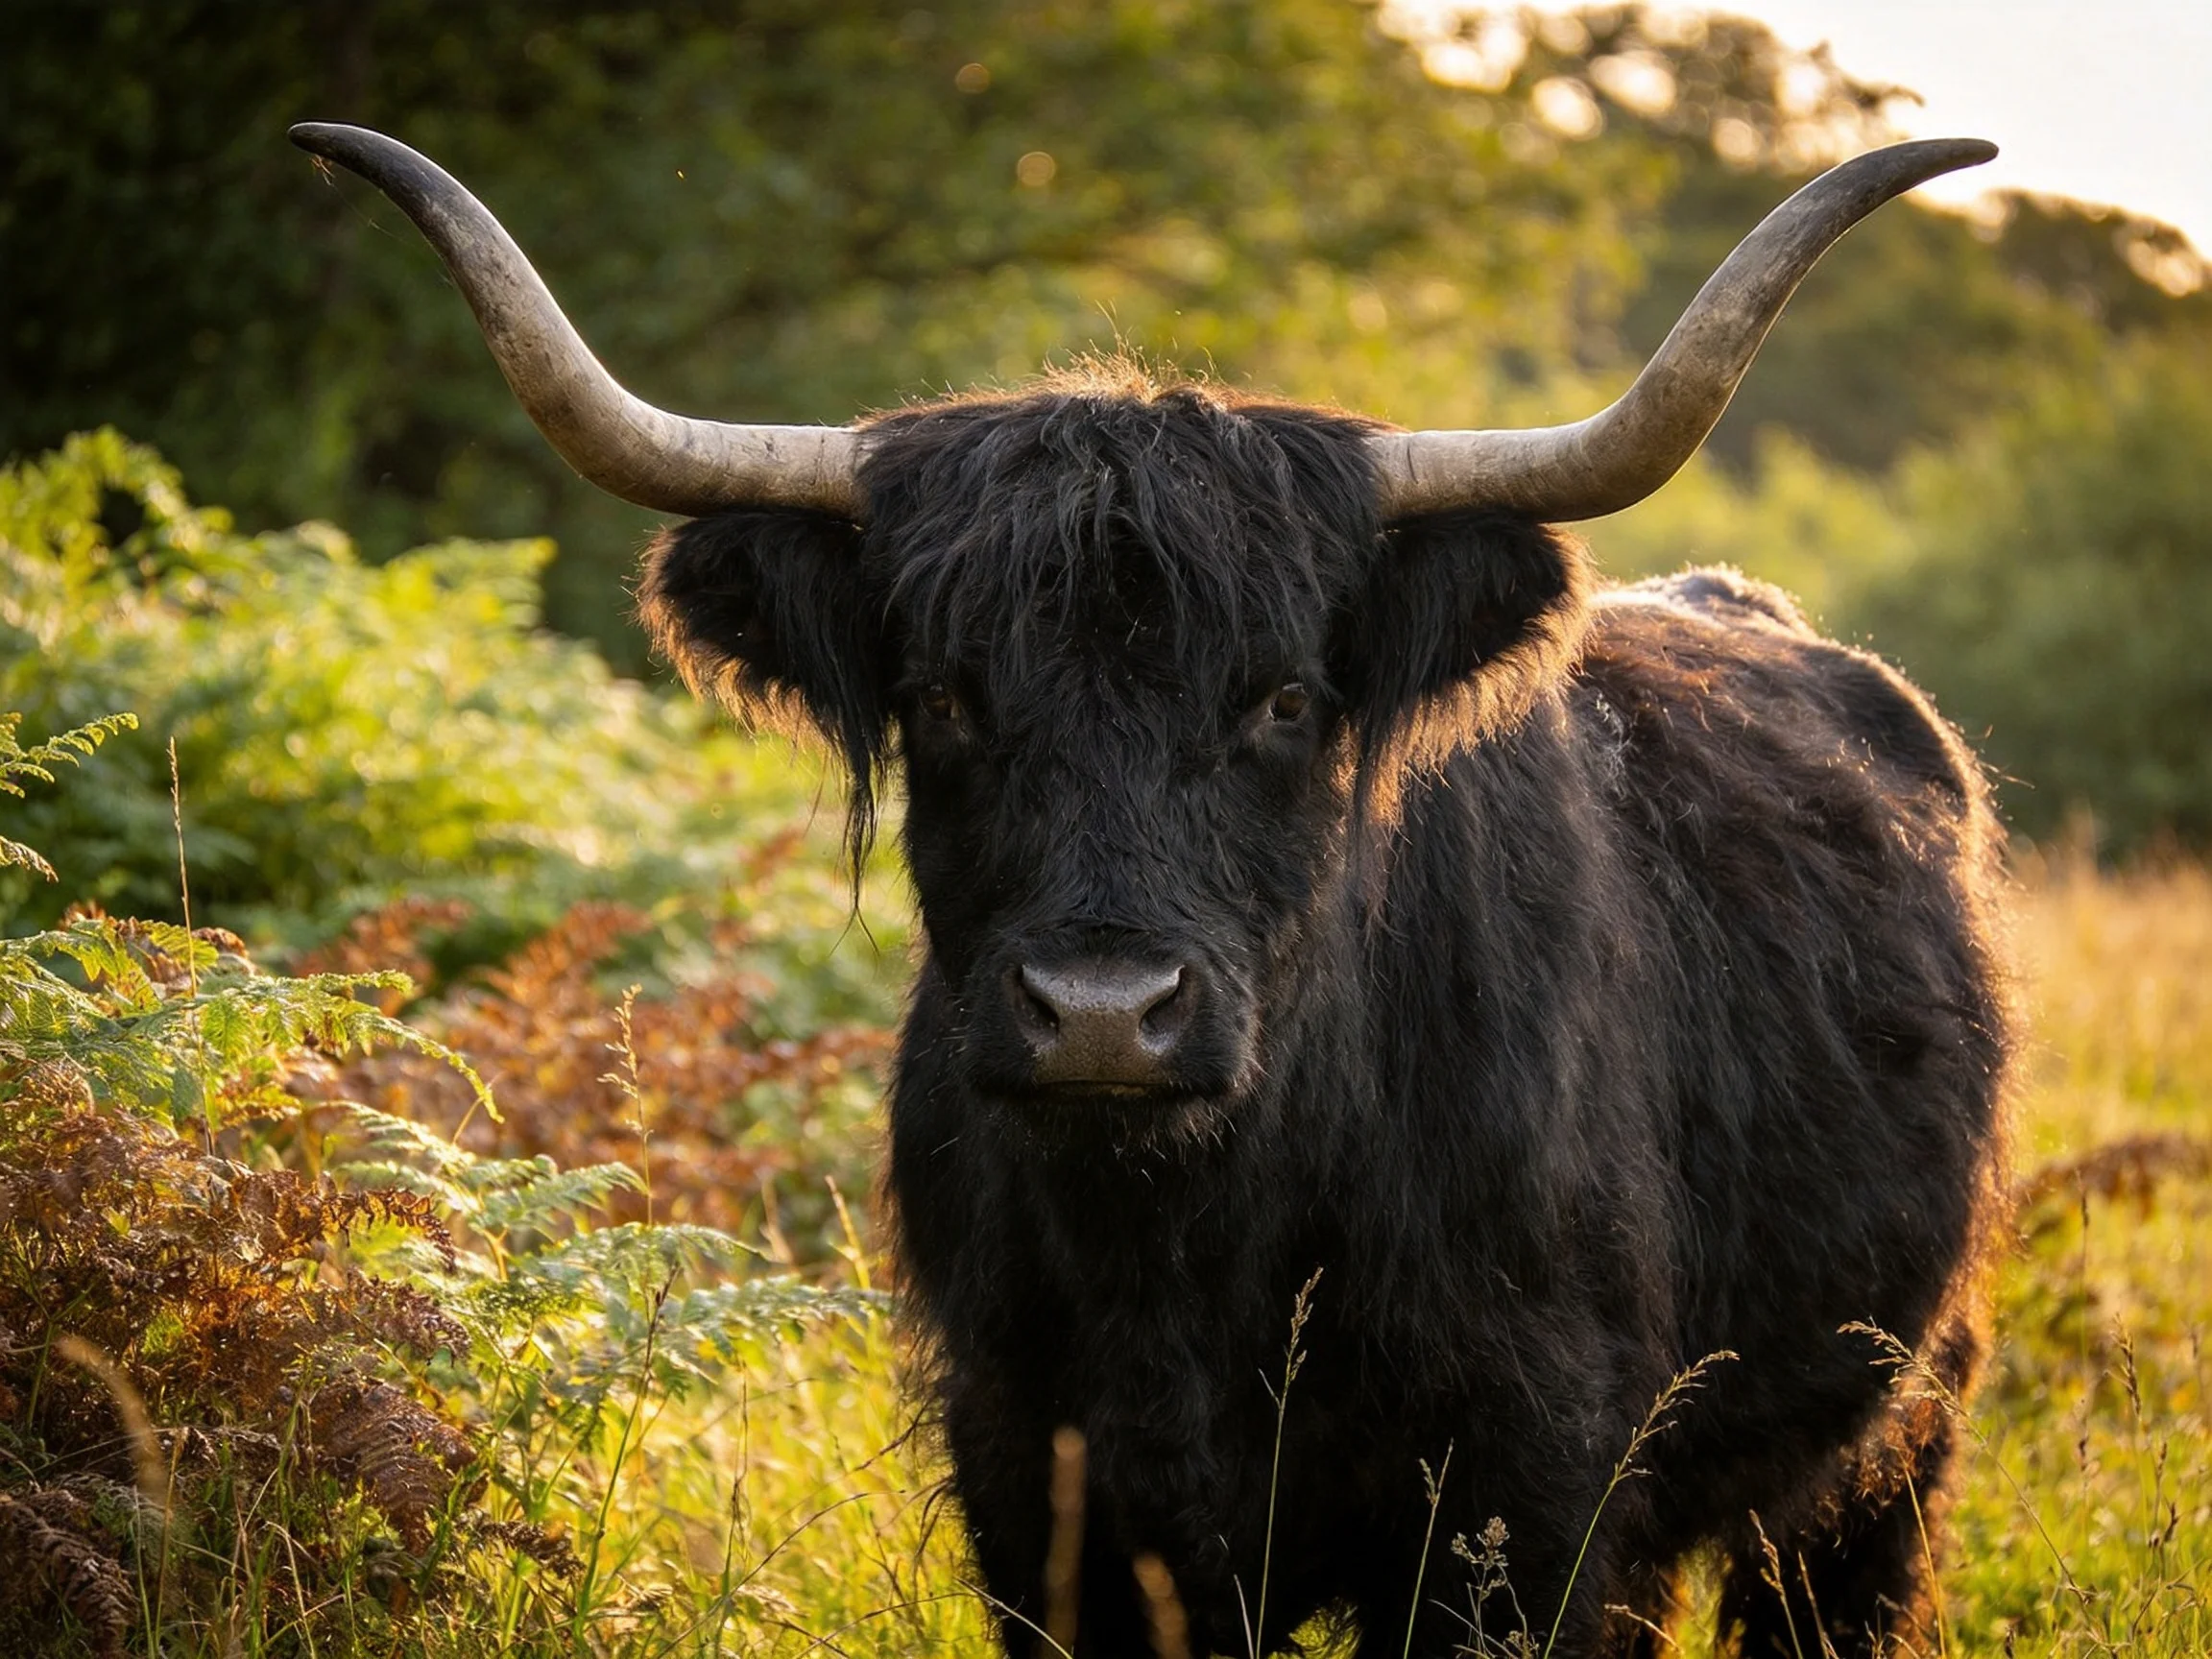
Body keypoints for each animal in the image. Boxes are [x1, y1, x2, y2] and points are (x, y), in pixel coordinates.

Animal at [292, 123, 2013, 1658]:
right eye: (944, 696)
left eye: (1283, 699)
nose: (1105, 1013)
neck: (1185, 1249)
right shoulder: (1039, 1496)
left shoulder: (1524, 1503)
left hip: (1896, 1427)